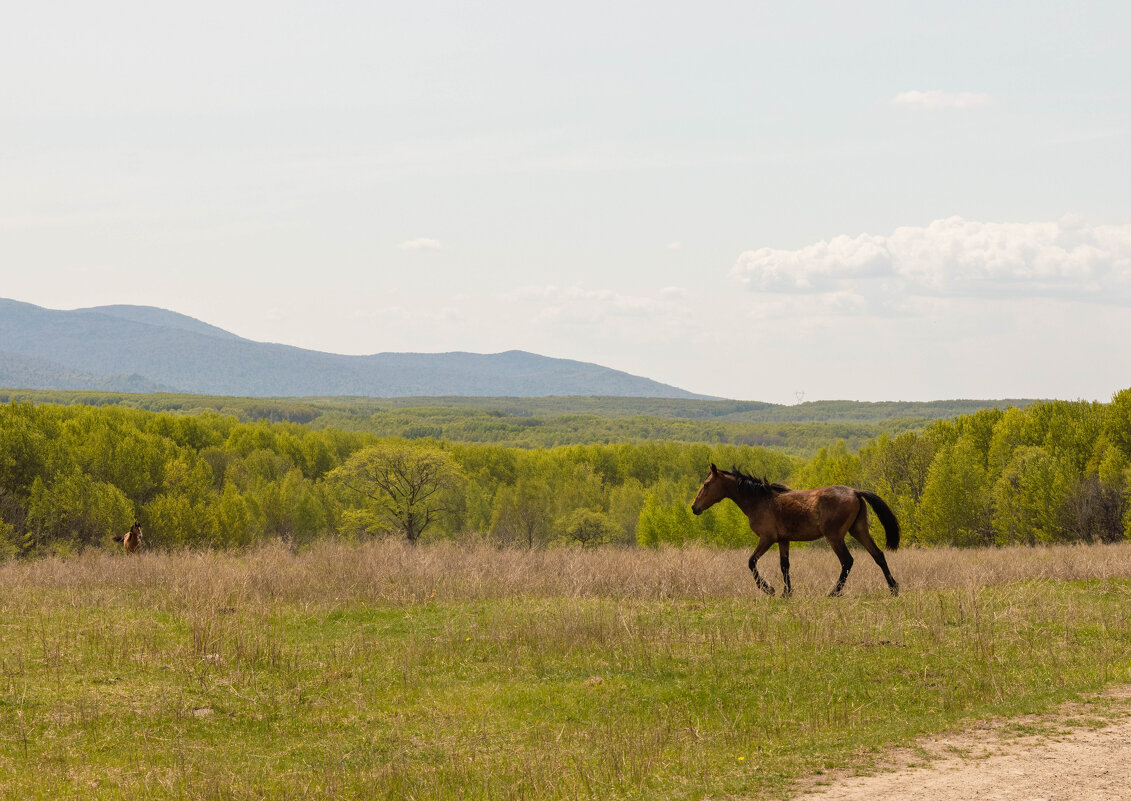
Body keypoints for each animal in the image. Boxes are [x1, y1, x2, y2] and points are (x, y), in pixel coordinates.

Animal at [687, 466, 900, 597]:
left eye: (706, 484)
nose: (694, 507)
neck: (760, 500)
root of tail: (855, 492)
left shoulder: (767, 539)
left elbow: (751, 562)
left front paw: (769, 589)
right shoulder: (783, 540)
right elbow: (784, 566)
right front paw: (786, 593)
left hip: (835, 537)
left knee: (847, 561)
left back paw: (834, 592)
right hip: (859, 530)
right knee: (878, 555)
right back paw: (894, 588)